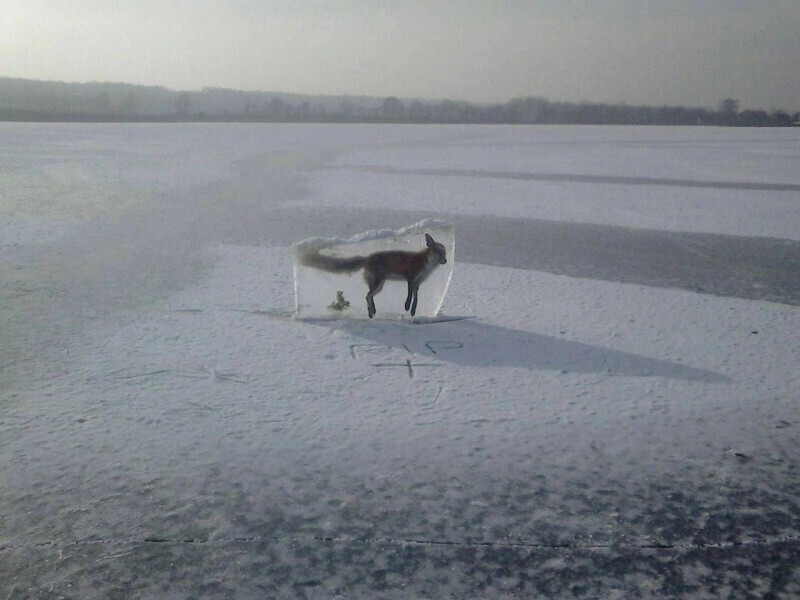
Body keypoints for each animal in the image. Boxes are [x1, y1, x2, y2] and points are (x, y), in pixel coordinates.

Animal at [300, 234, 446, 318]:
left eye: (444, 253)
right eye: (437, 252)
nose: (445, 261)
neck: (427, 266)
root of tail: (367, 258)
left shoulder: (418, 283)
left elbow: (416, 299)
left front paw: (413, 311)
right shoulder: (410, 278)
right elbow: (409, 296)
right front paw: (406, 306)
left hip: (379, 286)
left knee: (368, 296)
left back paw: (372, 311)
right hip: (377, 283)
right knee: (368, 295)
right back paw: (371, 312)